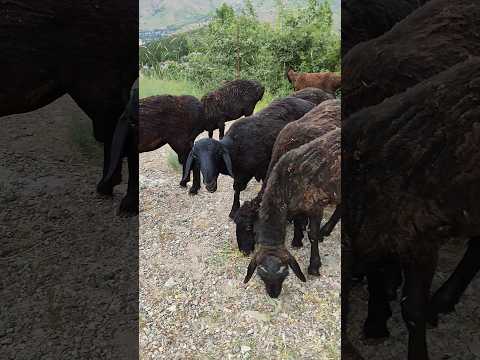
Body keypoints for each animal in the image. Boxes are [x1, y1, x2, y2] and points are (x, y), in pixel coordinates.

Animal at [181, 97, 316, 218]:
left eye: (218, 154)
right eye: (196, 156)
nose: (209, 185)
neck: (235, 147)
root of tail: (310, 103)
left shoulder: (261, 167)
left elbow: (243, 187)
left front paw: (235, 209)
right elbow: (237, 188)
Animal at [244, 130, 342, 298]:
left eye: (285, 273)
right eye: (261, 274)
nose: (273, 295)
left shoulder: (316, 204)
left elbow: (312, 235)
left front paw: (314, 266)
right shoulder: (296, 207)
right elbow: (298, 222)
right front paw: (298, 239)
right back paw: (327, 229)